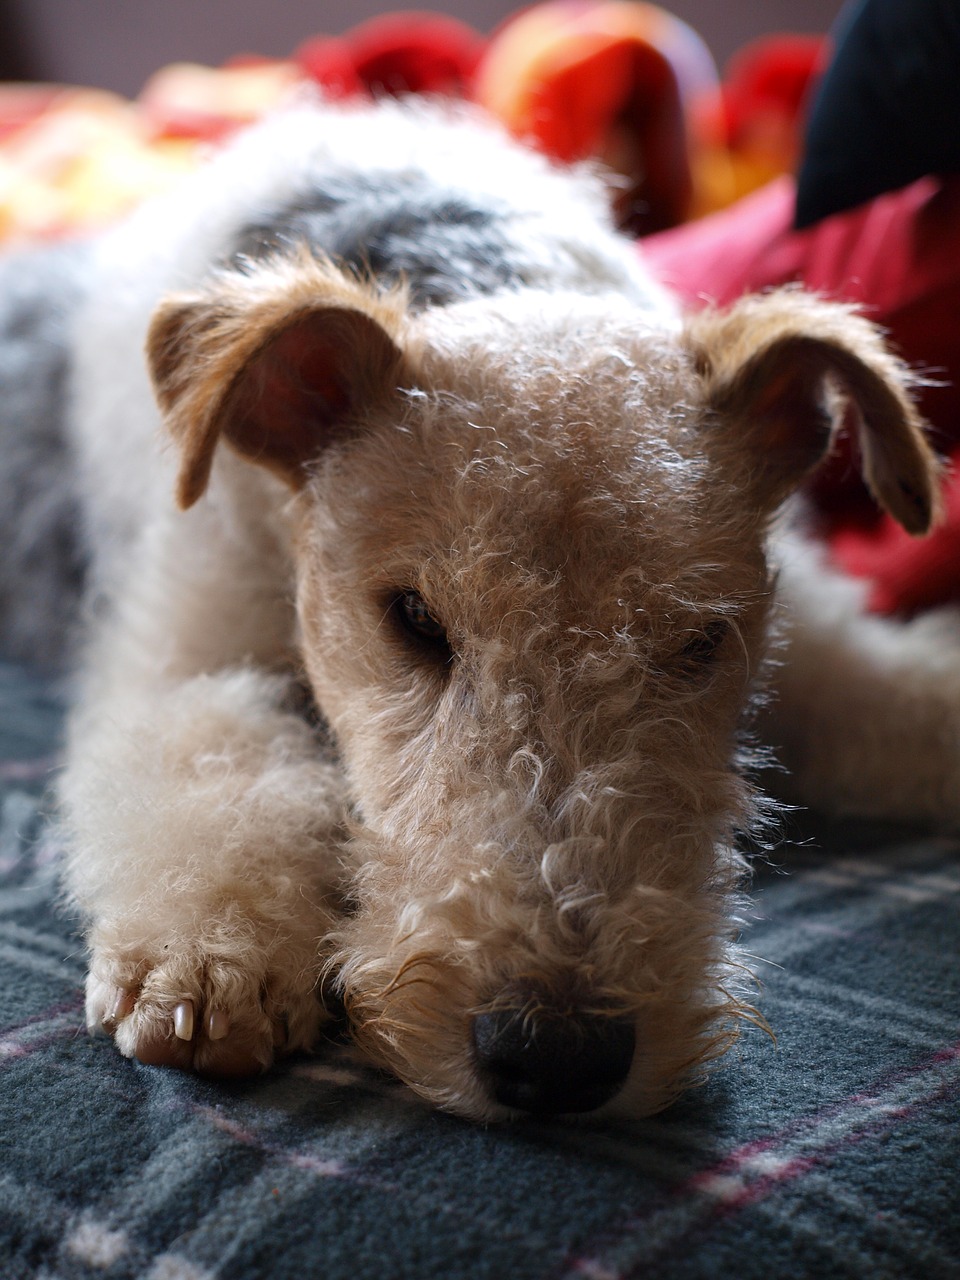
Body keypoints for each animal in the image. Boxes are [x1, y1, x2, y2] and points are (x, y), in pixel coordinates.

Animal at [1, 97, 957, 1121]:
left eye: (703, 638)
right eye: (414, 617)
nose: (557, 1056)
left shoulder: (816, 647)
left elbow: (897, 702)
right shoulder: (188, 644)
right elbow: (216, 761)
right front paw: (213, 961)